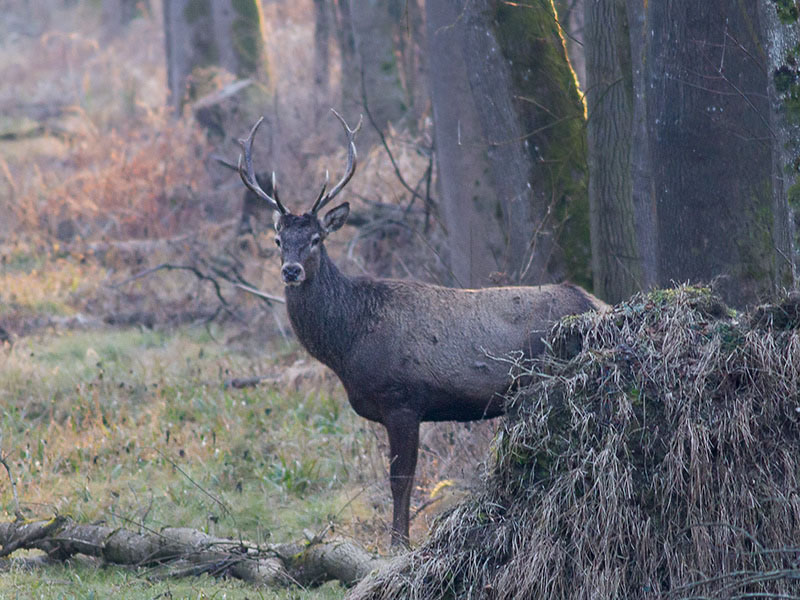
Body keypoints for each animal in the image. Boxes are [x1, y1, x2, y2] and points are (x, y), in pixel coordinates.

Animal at [238, 110, 608, 548]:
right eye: (278, 240)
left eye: (315, 238)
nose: (291, 271)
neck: (348, 343)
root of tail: (599, 304)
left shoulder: (402, 397)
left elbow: (401, 479)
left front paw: (398, 542)